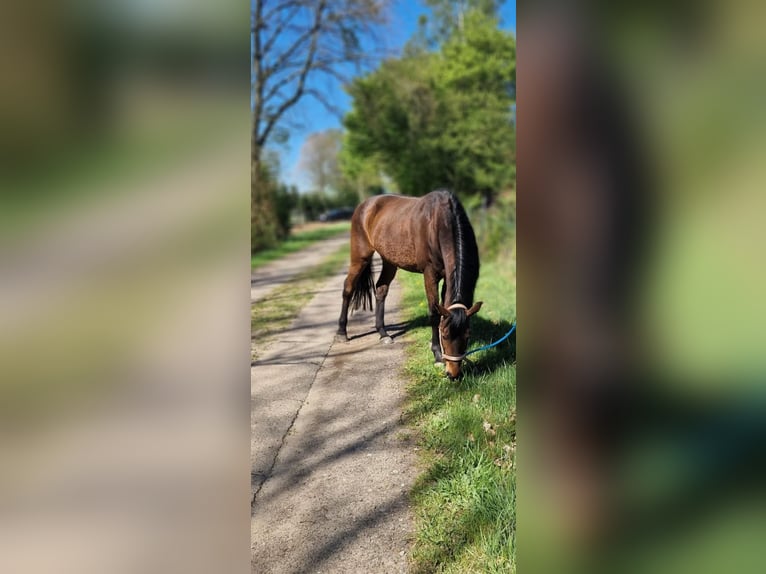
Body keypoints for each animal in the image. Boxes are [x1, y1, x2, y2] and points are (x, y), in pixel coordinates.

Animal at [336, 190, 482, 379]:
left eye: (468, 335)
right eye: (444, 335)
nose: (453, 374)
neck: (439, 222)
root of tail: (364, 206)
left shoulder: (446, 276)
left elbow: (443, 307)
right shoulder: (430, 273)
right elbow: (434, 312)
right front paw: (437, 355)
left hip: (389, 260)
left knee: (381, 289)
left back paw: (383, 333)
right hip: (360, 256)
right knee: (348, 288)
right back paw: (342, 332)